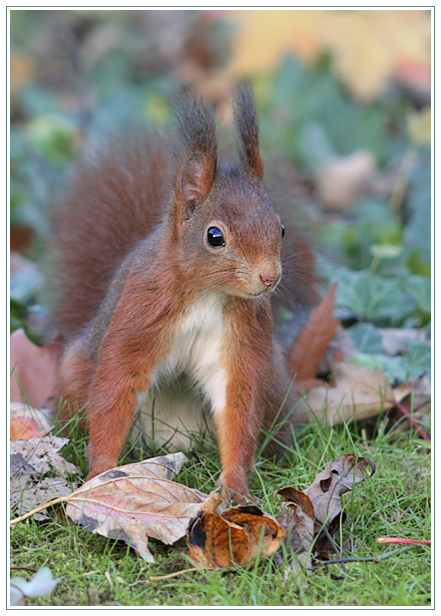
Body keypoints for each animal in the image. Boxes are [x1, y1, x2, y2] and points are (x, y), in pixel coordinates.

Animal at [48, 82, 316, 502]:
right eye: (215, 236)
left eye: (282, 228)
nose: (269, 277)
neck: (206, 293)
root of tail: (173, 443)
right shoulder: (139, 313)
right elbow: (115, 387)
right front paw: (101, 475)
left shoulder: (244, 335)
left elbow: (238, 401)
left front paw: (236, 488)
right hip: (76, 376)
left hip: (274, 385)